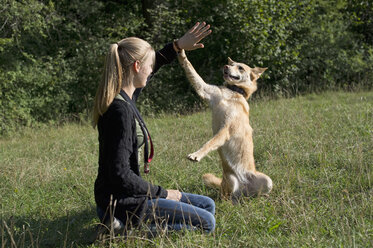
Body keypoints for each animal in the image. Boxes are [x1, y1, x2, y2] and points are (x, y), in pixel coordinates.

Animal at [176, 49, 272, 202]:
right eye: (231, 64)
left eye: (240, 67)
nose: (225, 66)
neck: (232, 93)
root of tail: (243, 191)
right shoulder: (205, 90)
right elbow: (191, 69)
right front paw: (180, 51)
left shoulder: (226, 129)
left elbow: (209, 143)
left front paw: (196, 155)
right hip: (231, 180)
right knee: (226, 196)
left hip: (268, 181)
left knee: (256, 193)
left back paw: (261, 197)